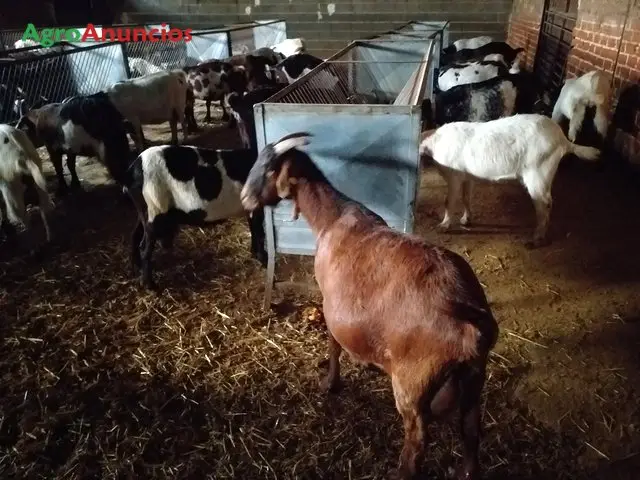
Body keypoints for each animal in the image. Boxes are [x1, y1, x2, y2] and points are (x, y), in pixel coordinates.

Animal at [240, 132, 500, 480]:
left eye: (270, 169)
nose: (245, 199)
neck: (332, 218)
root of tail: (471, 326)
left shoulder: (330, 301)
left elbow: (333, 343)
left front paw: (330, 383)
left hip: (413, 382)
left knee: (417, 439)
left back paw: (402, 471)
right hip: (474, 375)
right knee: (471, 428)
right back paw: (466, 472)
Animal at [420, 113, 600, 248]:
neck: (435, 141)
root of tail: (562, 139)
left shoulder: (454, 177)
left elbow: (448, 201)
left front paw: (443, 226)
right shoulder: (467, 177)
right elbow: (466, 198)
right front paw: (466, 220)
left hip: (539, 172)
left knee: (544, 203)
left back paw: (536, 239)